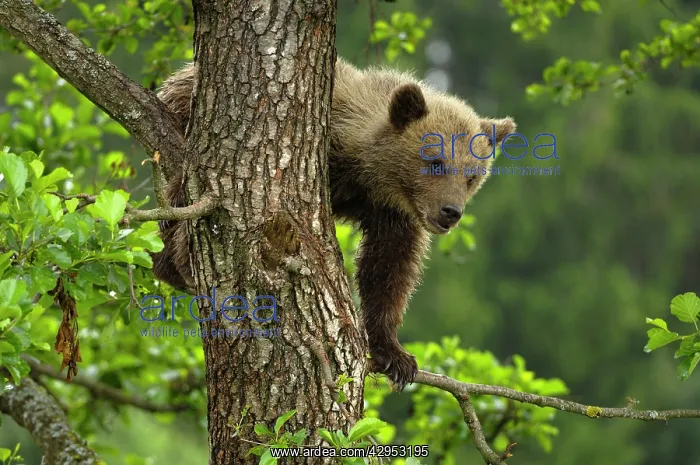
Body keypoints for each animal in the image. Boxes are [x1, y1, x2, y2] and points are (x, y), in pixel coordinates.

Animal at [152, 57, 516, 392]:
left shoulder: (391, 216)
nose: (450, 211)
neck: (368, 174)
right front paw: (184, 257)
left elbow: (388, 270)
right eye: (436, 162)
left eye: (471, 176)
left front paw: (395, 355)